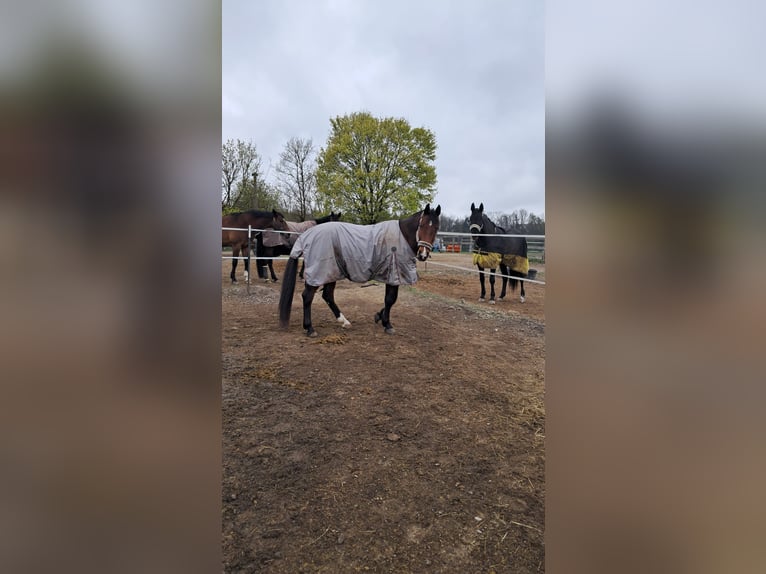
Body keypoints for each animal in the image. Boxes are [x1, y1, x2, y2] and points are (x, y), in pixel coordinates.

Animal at [278, 204, 441, 337]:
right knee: (307, 297)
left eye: (436, 228)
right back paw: (310, 328)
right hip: (320, 273)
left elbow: (389, 300)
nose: (423, 254)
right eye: (422, 225)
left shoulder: (391, 275)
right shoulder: (393, 274)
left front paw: (379, 316)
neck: (401, 237)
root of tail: (307, 235)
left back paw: (344, 321)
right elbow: (390, 300)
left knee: (327, 296)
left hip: (331, 272)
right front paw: (387, 324)